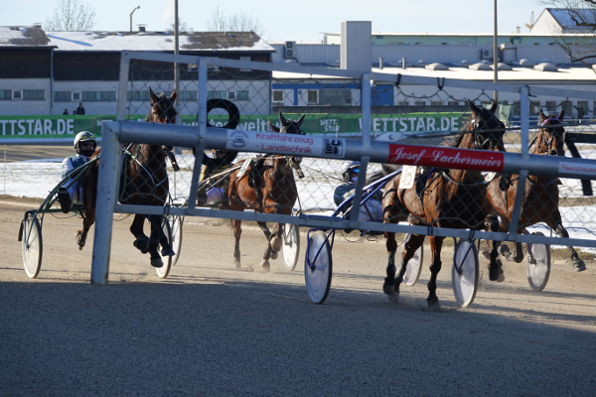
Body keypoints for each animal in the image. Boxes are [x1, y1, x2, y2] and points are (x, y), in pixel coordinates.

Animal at [76, 86, 177, 266]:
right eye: (156, 111)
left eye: (174, 112)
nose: (168, 142)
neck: (151, 165)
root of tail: (96, 154)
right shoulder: (140, 199)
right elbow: (150, 223)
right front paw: (157, 246)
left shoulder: (158, 199)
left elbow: (155, 225)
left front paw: (155, 249)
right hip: (93, 194)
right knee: (90, 218)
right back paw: (82, 237)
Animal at [227, 113, 304, 270]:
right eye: (285, 134)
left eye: (300, 134)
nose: (296, 158)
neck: (282, 177)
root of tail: (237, 167)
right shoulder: (268, 203)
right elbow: (277, 215)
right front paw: (274, 246)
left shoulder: (287, 208)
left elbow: (277, 228)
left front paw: (269, 255)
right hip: (236, 203)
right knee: (237, 232)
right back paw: (237, 258)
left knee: (261, 224)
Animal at [382, 100, 508, 308]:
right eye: (481, 126)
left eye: (501, 126)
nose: (501, 154)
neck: (459, 185)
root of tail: (394, 175)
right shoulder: (437, 227)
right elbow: (436, 264)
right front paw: (432, 297)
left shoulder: (473, 220)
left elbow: (492, 223)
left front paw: (495, 267)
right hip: (391, 215)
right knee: (391, 246)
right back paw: (389, 280)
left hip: (418, 223)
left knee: (407, 251)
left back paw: (395, 287)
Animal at [488, 109, 588, 272]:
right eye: (546, 130)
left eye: (562, 129)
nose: (556, 151)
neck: (538, 182)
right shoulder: (515, 219)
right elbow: (517, 255)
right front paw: (506, 252)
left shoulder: (551, 214)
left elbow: (563, 232)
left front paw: (576, 260)